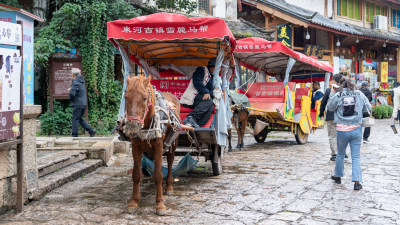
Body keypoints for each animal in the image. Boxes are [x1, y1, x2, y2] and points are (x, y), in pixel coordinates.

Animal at [122, 76, 180, 216]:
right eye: (126, 97)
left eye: (144, 98)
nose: (132, 125)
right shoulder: (135, 147)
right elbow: (136, 174)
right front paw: (134, 202)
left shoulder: (159, 146)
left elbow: (158, 175)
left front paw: (160, 204)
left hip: (173, 142)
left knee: (170, 161)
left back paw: (169, 186)